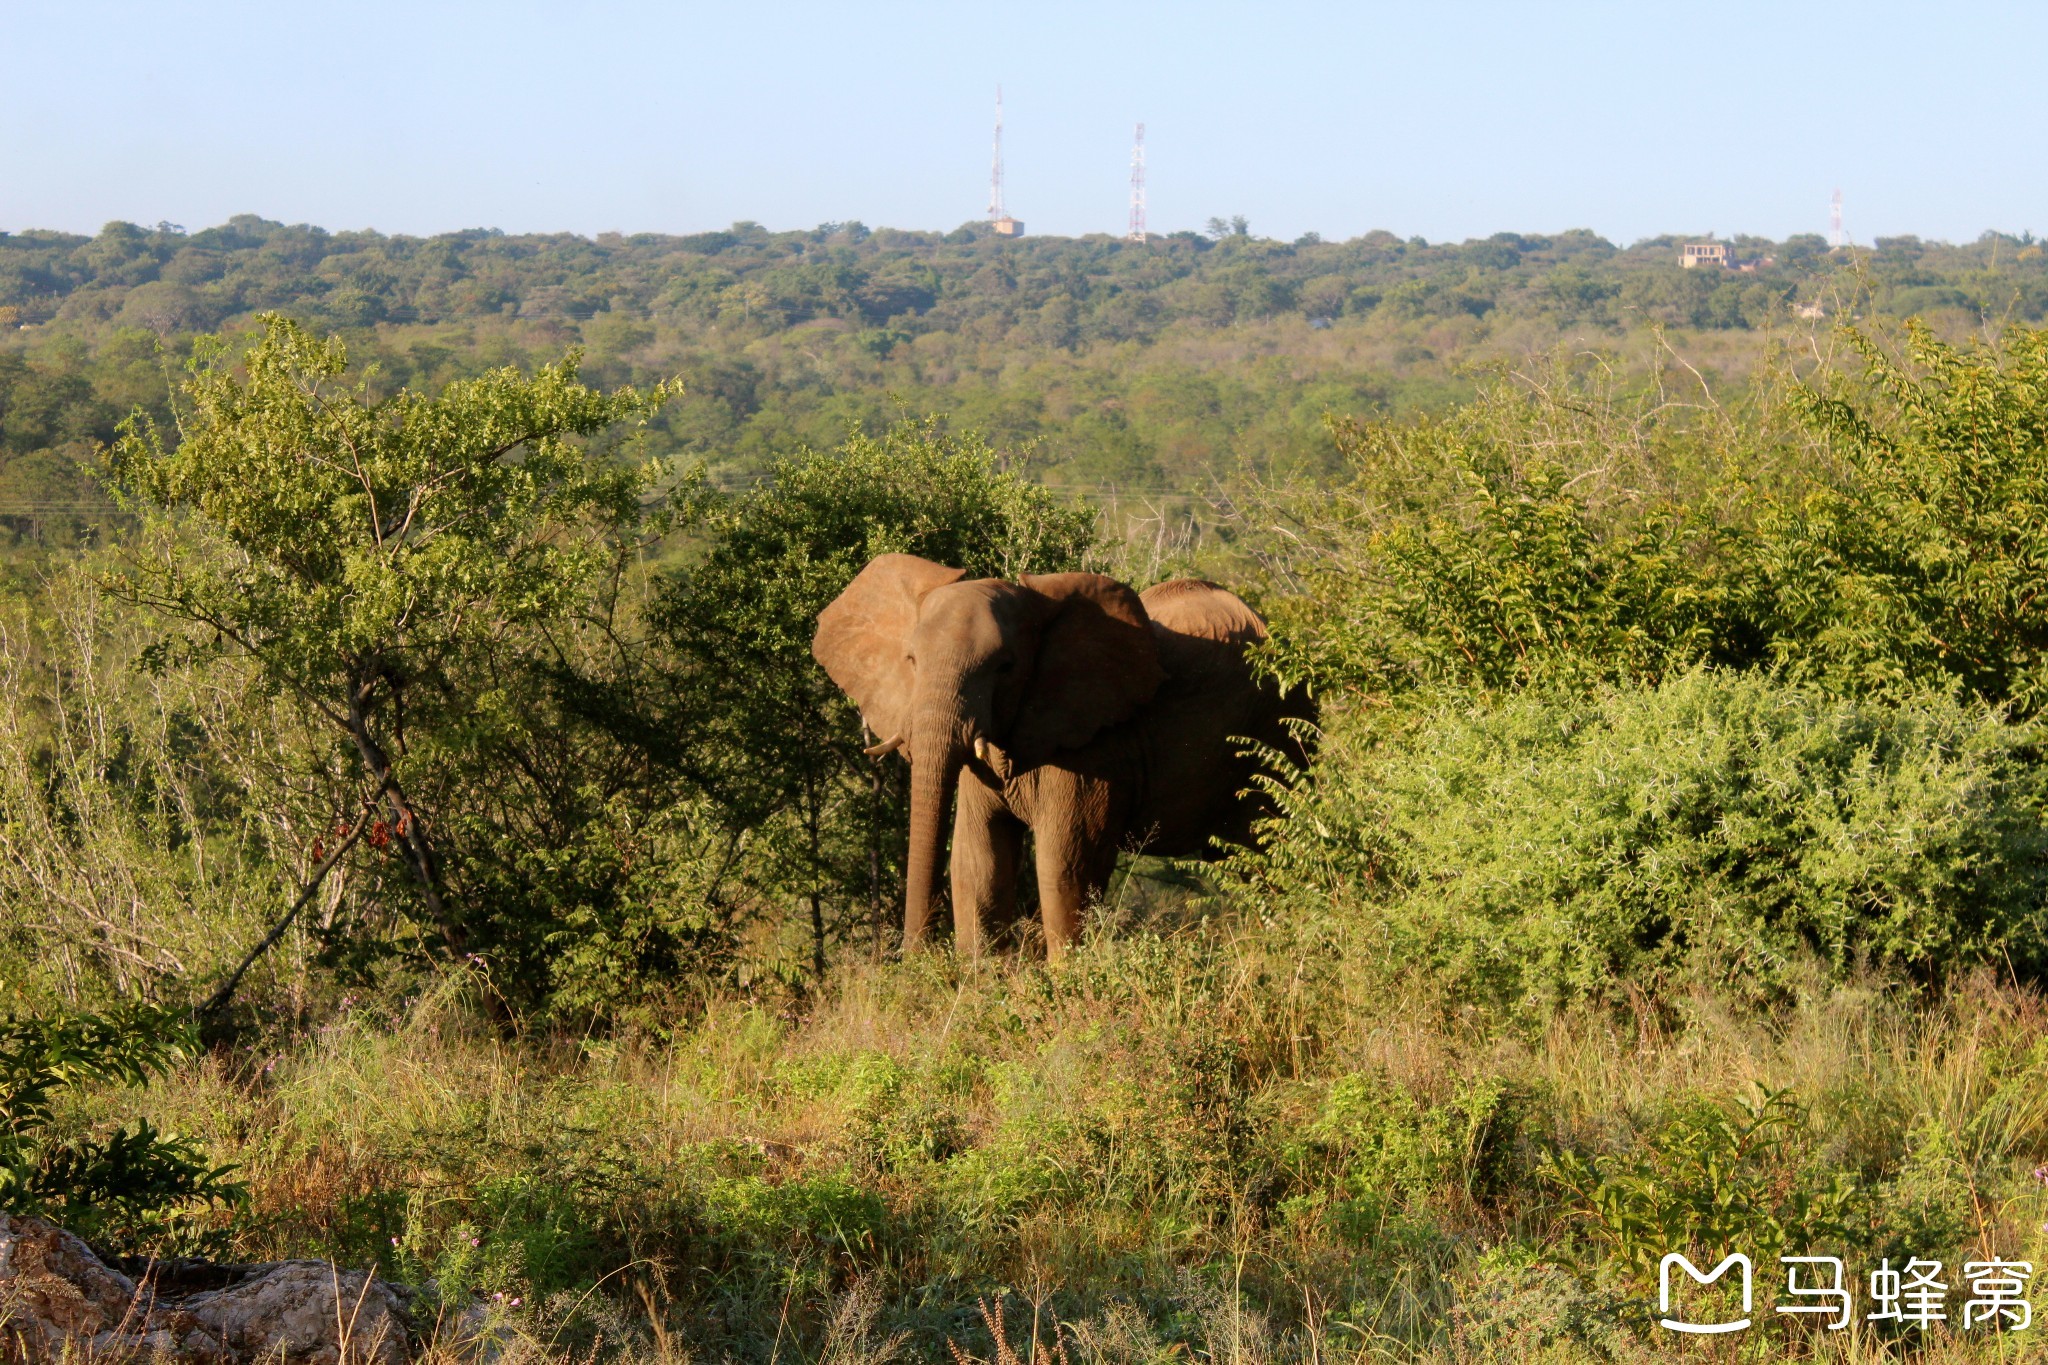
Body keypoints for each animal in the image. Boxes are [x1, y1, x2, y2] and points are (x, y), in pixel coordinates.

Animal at [815, 556, 1310, 961]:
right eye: (912, 660)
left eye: (1005, 667)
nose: (915, 962)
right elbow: (978, 860)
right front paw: (979, 989)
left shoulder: (1094, 747)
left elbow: (1065, 864)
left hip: (1281, 734)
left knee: (1269, 856)